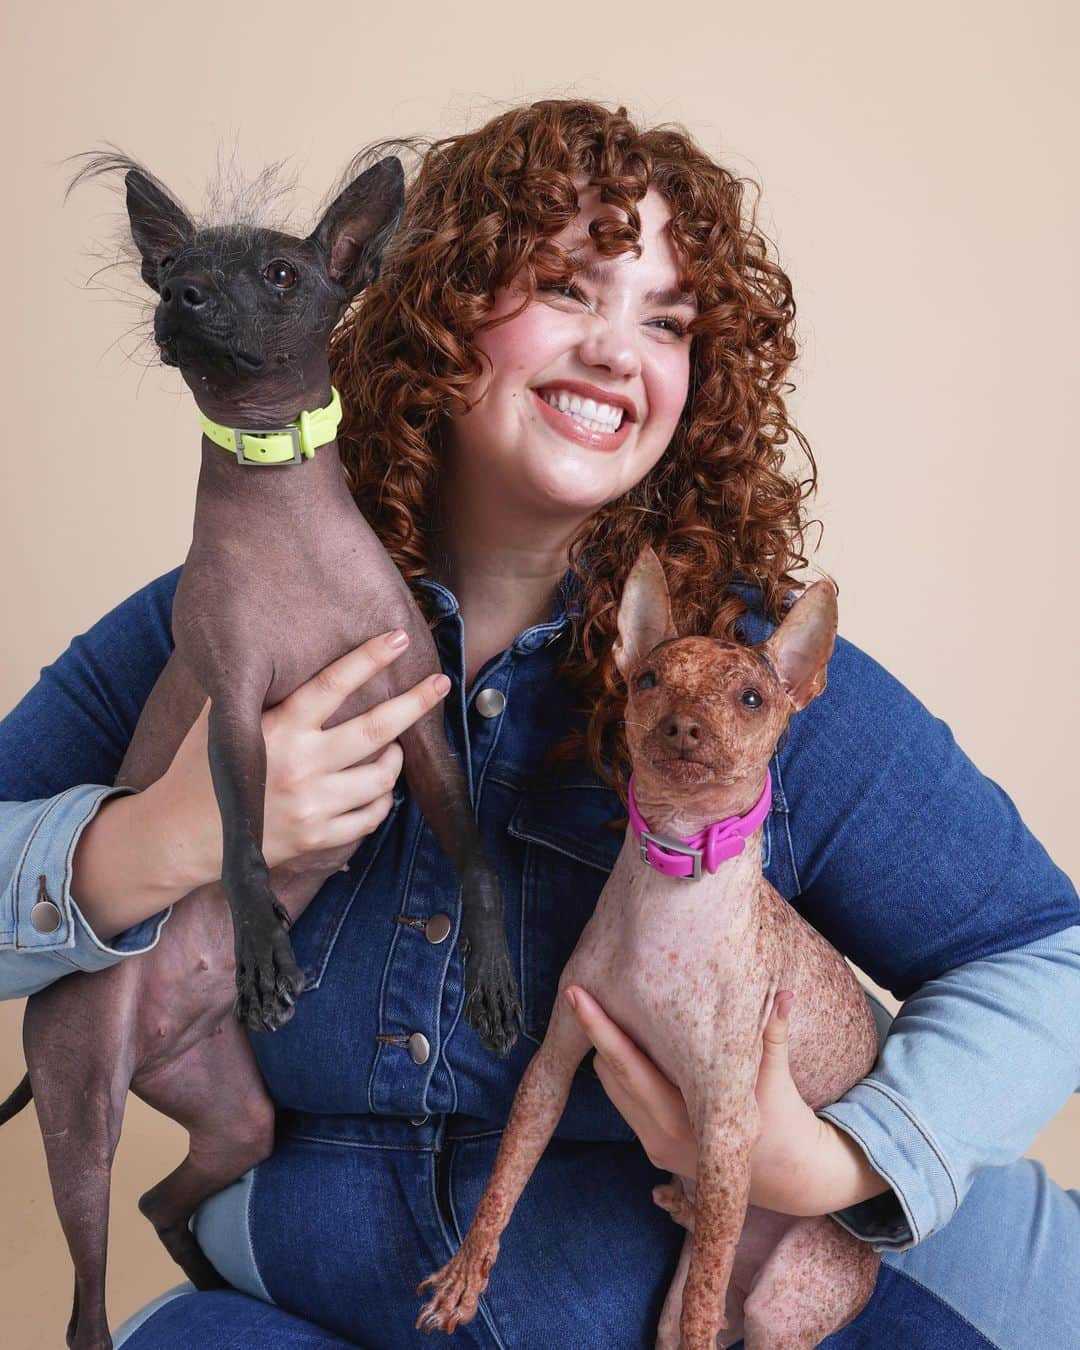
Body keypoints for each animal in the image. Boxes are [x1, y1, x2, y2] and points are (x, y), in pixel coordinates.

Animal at [0, 150, 518, 1350]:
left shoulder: (416, 719)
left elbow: (473, 847)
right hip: (82, 1108)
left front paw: (491, 973)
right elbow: (239, 832)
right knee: (86, 1301)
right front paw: (262, 945)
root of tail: (155, 1047)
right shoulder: (238, 716)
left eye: (283, 274)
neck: (283, 511)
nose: (184, 299)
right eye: (177, 266)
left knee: (163, 1198)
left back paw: (213, 1275)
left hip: (235, 1115)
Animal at [418, 550, 880, 1350]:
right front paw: (468, 1269)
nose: (684, 726)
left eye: (753, 698)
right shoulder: (553, 1064)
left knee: (722, 1304)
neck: (675, 875)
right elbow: (506, 1178)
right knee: (699, 1282)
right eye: (649, 681)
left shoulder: (727, 1129)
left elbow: (699, 1307)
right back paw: (680, 1207)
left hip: (784, 1301)